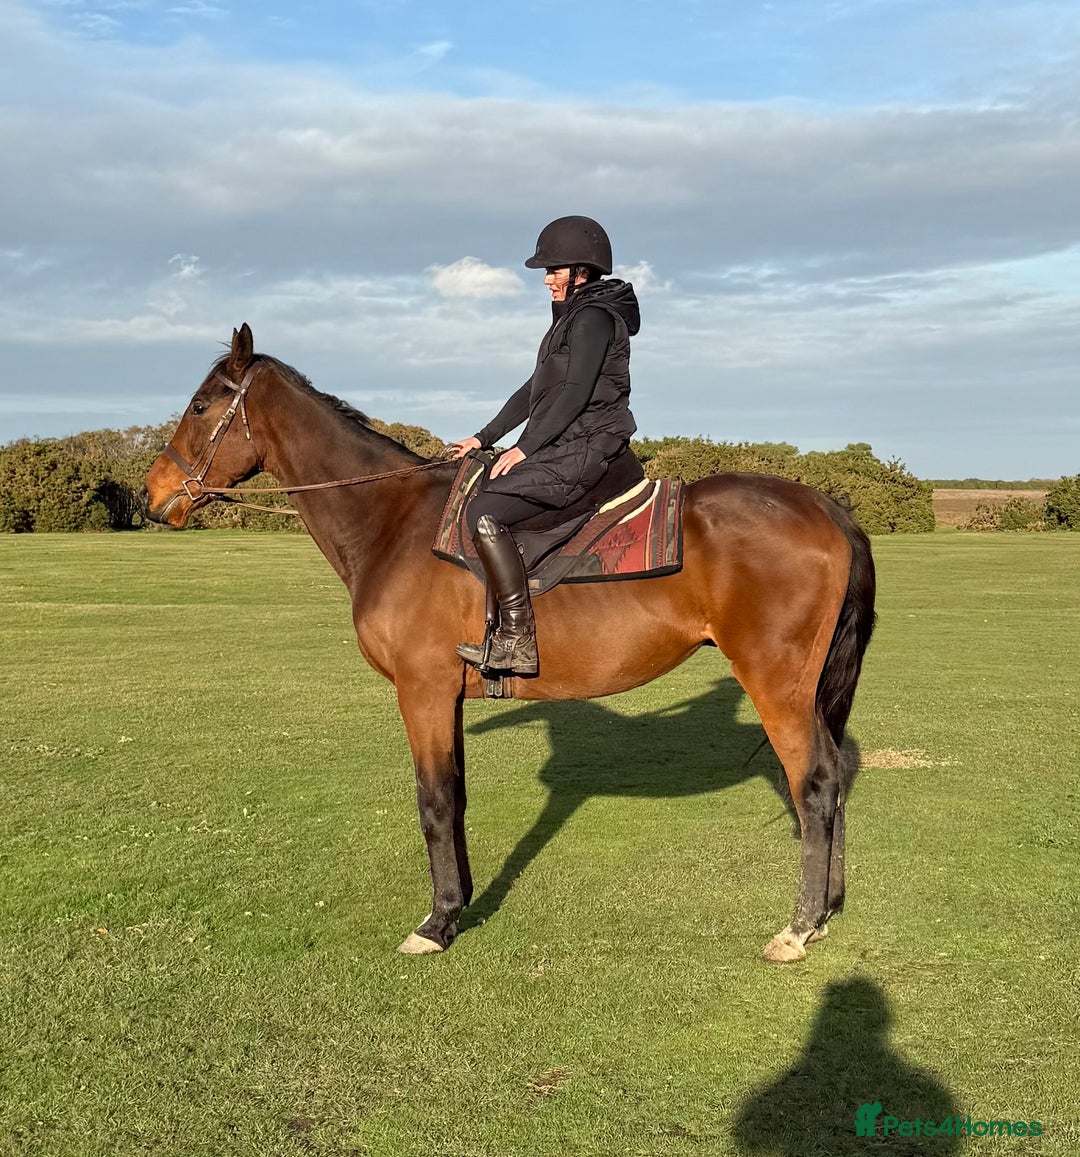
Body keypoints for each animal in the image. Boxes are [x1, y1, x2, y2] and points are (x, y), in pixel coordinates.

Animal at [143, 324, 875, 963]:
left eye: (201, 404)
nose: (153, 493)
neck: (393, 525)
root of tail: (826, 507)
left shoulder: (423, 691)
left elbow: (435, 801)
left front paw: (437, 922)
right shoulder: (445, 696)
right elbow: (456, 796)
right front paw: (460, 903)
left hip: (776, 680)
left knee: (814, 784)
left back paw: (798, 927)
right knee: (835, 776)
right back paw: (827, 910)